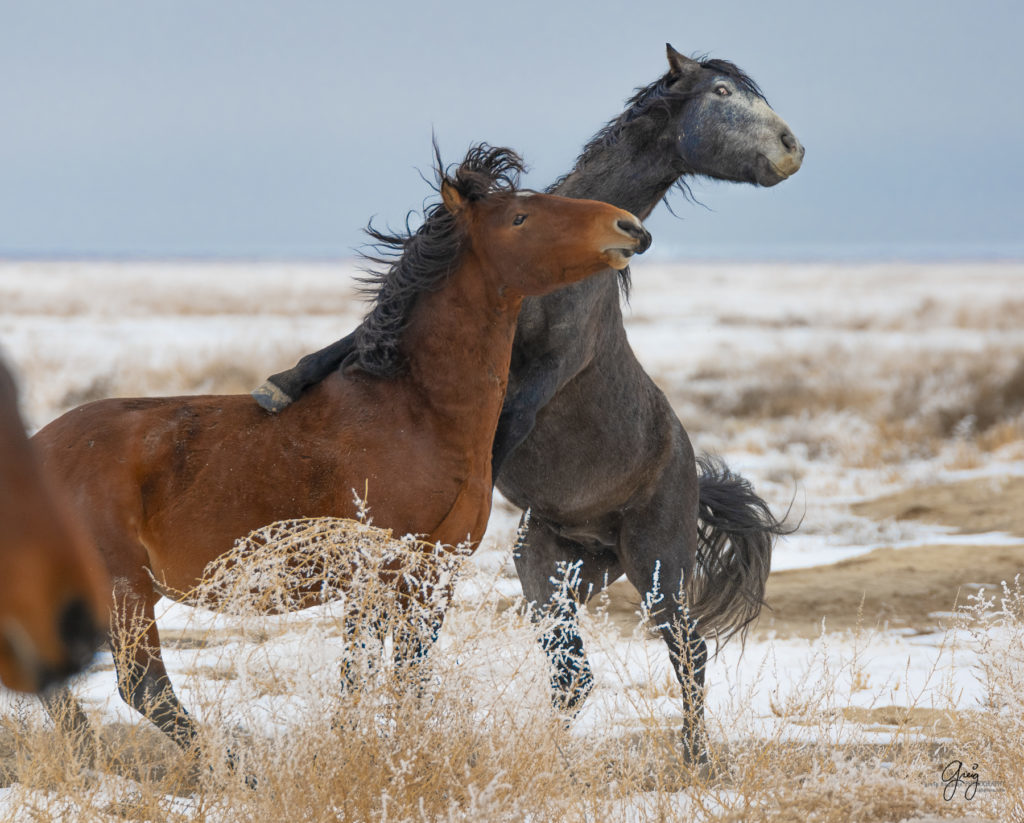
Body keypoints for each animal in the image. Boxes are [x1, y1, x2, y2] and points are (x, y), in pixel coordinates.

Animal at [36, 146, 651, 757]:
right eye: (520, 218)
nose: (629, 227)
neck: (416, 413)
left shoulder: (433, 575)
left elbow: (409, 680)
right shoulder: (376, 572)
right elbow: (359, 677)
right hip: (122, 589)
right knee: (144, 685)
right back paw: (232, 765)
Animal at [251, 45, 802, 761]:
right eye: (722, 91)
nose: (792, 149)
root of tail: (690, 478)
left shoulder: (540, 381)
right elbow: (344, 347)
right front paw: (280, 385)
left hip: (658, 565)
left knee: (690, 652)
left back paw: (697, 761)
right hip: (550, 570)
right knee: (572, 675)